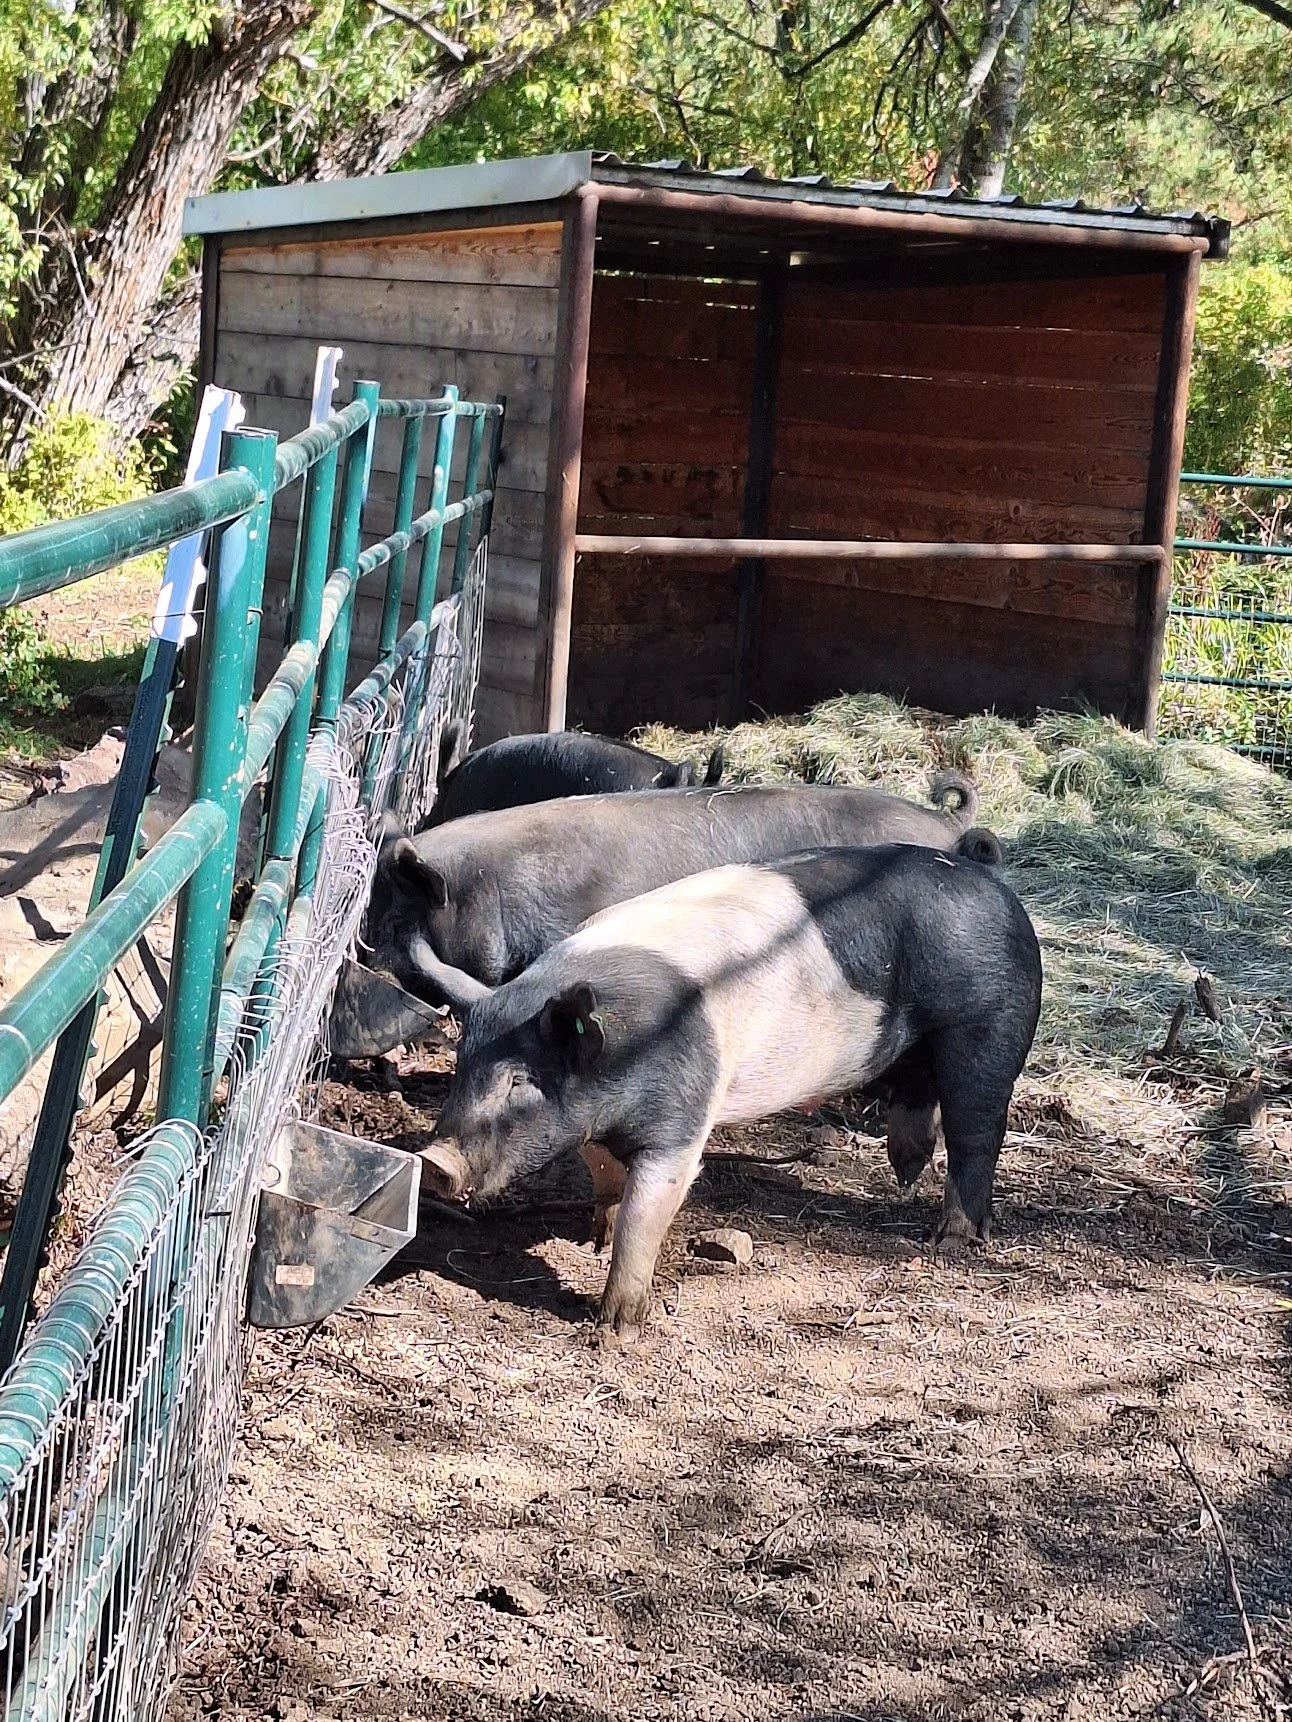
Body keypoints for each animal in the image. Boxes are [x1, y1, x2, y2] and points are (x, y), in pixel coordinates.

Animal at [424, 844, 1042, 1341]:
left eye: (519, 1082)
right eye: (460, 1066)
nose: (435, 1161)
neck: (625, 1049)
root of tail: (997, 890)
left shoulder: (683, 1113)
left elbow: (648, 1211)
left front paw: (617, 1331)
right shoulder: (595, 1121)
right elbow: (605, 1177)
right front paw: (592, 1241)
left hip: (989, 1024)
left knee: (977, 1128)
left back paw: (950, 1241)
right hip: (917, 1043)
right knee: (919, 1092)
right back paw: (907, 1176)